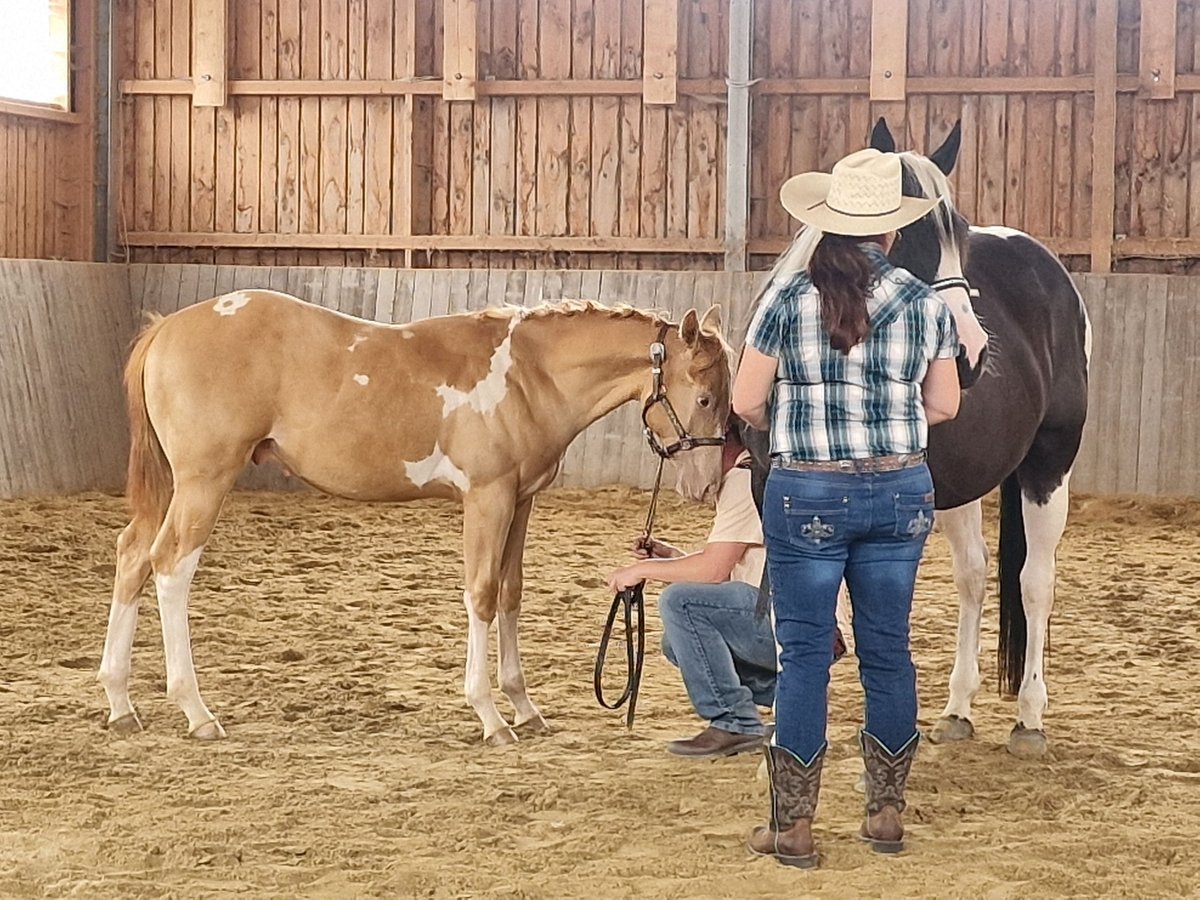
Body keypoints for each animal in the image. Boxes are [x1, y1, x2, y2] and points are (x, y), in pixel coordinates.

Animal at [97, 292, 732, 745]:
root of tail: (166, 328)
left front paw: (524, 708)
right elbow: (481, 593)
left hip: (173, 486)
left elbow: (510, 593)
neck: (527, 375)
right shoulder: (487, 498)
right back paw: (196, 710)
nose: (705, 486)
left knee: (132, 556)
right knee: (170, 567)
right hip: (204, 480)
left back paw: (121, 703)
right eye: (704, 397)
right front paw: (490, 716)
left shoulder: (521, 501)